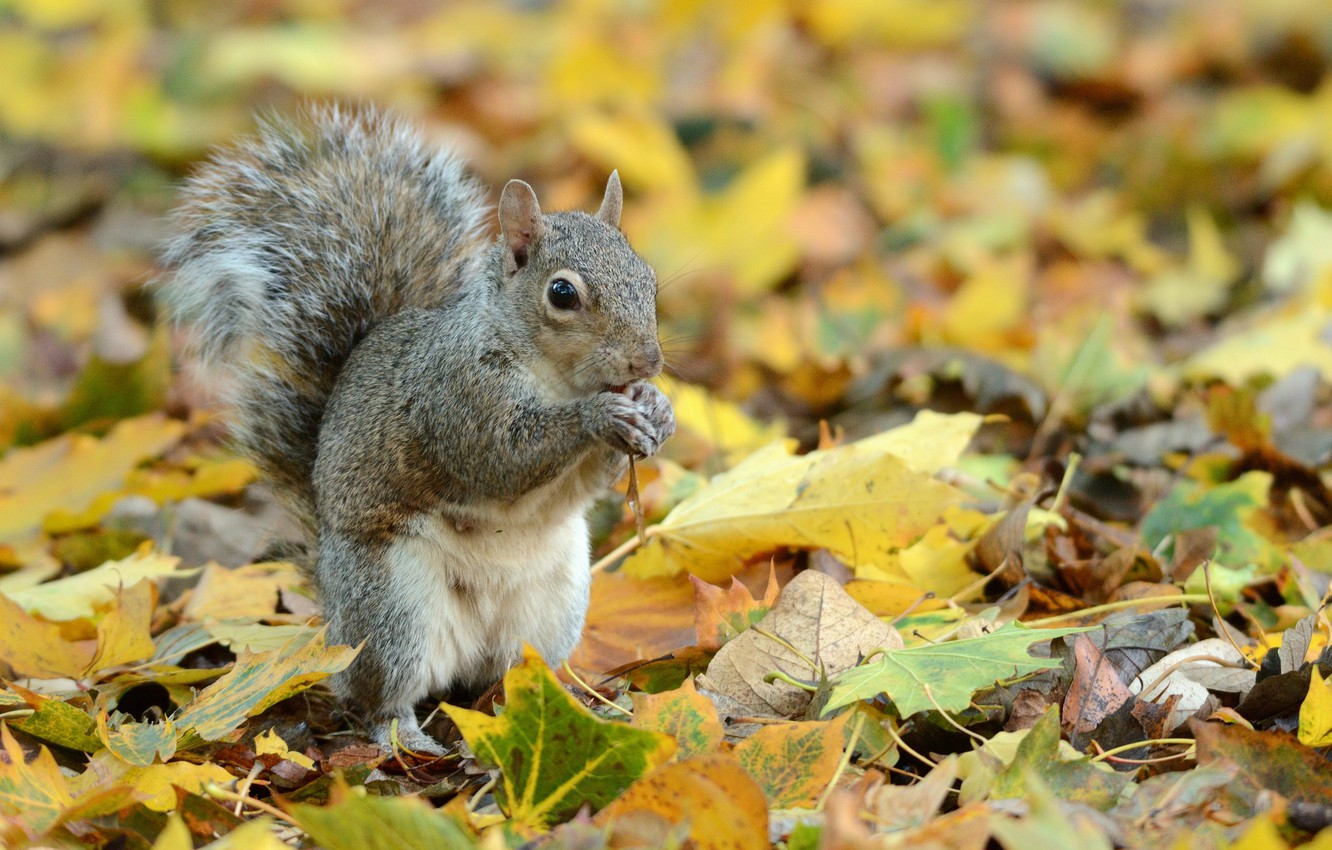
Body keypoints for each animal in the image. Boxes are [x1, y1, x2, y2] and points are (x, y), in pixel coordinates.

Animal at [159, 105, 675, 754]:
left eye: (648, 278)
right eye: (562, 293)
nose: (647, 362)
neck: (556, 377)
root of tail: (331, 604)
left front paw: (657, 410)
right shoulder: (454, 398)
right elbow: (501, 457)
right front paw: (600, 416)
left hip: (554, 606)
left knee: (512, 676)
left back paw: (561, 704)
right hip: (394, 606)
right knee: (379, 695)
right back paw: (407, 738)